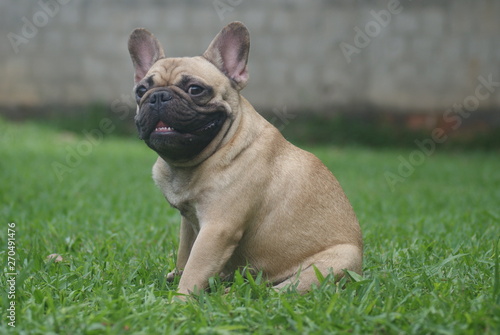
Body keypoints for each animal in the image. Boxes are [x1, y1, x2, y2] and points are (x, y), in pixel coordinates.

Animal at [128, 21, 364, 296]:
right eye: (141, 90)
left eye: (195, 89)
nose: (157, 96)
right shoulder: (189, 222)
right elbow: (185, 255)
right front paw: (176, 277)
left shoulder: (217, 229)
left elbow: (194, 268)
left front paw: (180, 300)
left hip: (334, 262)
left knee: (277, 292)